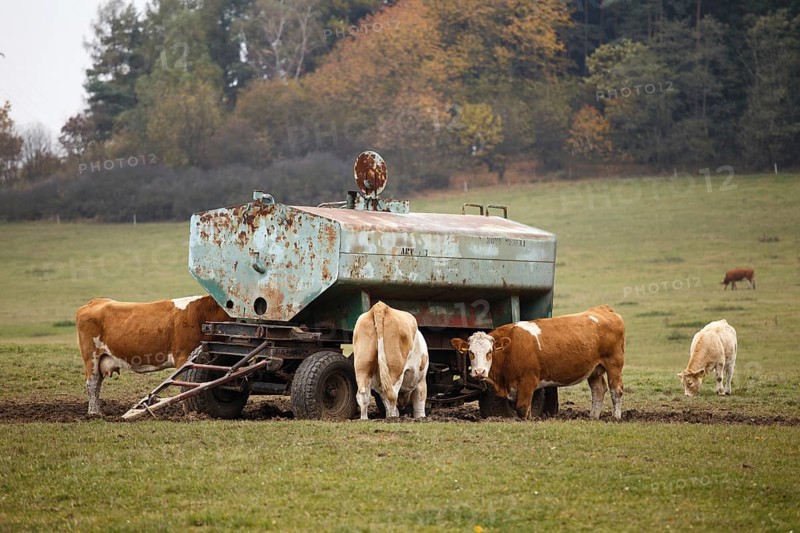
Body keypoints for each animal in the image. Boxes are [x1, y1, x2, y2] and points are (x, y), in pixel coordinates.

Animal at [76, 295, 229, 415]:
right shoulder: (183, 356)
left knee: (97, 384)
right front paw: (189, 414)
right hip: (91, 358)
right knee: (92, 384)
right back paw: (94, 413)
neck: (204, 313)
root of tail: (96, 301)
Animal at [450, 305, 626, 420]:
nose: (479, 372)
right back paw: (593, 417)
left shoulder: (528, 381)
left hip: (614, 364)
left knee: (616, 390)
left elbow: (522, 410)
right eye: (471, 352)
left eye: (489, 352)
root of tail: (604, 309)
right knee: (598, 391)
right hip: (594, 369)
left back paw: (615, 417)